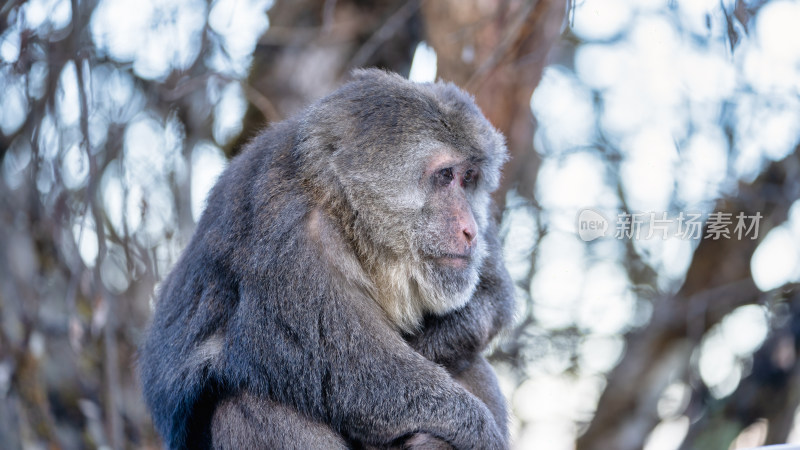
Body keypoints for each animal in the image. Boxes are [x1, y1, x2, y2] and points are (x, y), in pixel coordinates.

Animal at [138, 68, 516, 448]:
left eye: (469, 178)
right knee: (246, 402)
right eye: (445, 176)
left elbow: (493, 294)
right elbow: (355, 376)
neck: (343, 209)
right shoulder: (294, 238)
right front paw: (476, 428)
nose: (471, 230)